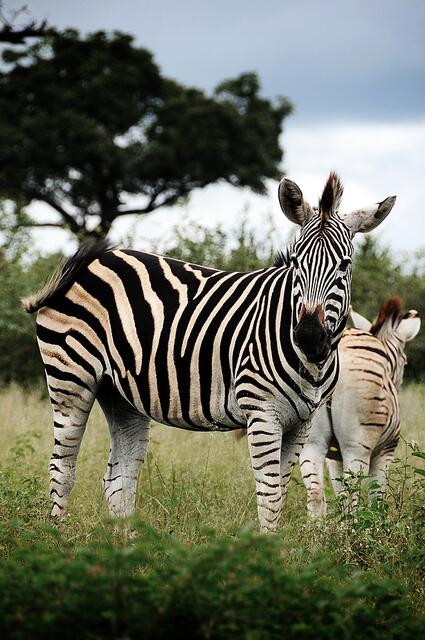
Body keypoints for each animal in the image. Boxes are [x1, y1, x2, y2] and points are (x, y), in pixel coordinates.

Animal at [22, 173, 396, 532]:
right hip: (70, 378)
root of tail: (92, 261)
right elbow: (269, 495)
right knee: (62, 467)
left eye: (344, 265)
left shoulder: (302, 422)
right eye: (296, 263)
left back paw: (125, 547)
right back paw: (58, 538)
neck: (311, 367)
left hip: (120, 394)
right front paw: (266, 551)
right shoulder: (262, 413)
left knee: (119, 478)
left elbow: (282, 492)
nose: (308, 337)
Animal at [300, 298, 420, 517]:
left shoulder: (334, 458)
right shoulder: (386, 450)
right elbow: (376, 497)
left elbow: (338, 491)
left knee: (316, 494)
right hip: (358, 443)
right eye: (405, 361)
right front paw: (374, 523)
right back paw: (352, 525)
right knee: (352, 494)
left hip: (310, 442)